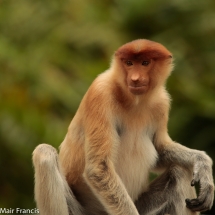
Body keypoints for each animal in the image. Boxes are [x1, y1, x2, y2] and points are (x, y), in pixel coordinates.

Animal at [31, 39, 213, 215]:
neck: (133, 100)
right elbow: (98, 168)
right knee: (44, 153)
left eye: (145, 62)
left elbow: (159, 150)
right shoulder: (100, 93)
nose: (135, 79)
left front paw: (203, 165)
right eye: (129, 63)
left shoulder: (162, 103)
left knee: (179, 172)